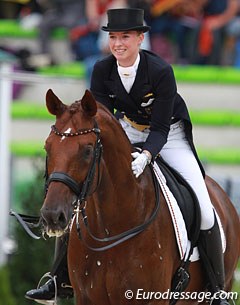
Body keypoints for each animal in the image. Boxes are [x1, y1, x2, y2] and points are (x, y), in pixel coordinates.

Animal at [41, 89, 240, 304]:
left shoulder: (152, 298)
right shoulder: (86, 298)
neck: (109, 231)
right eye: (47, 147)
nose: (52, 216)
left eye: (87, 150)